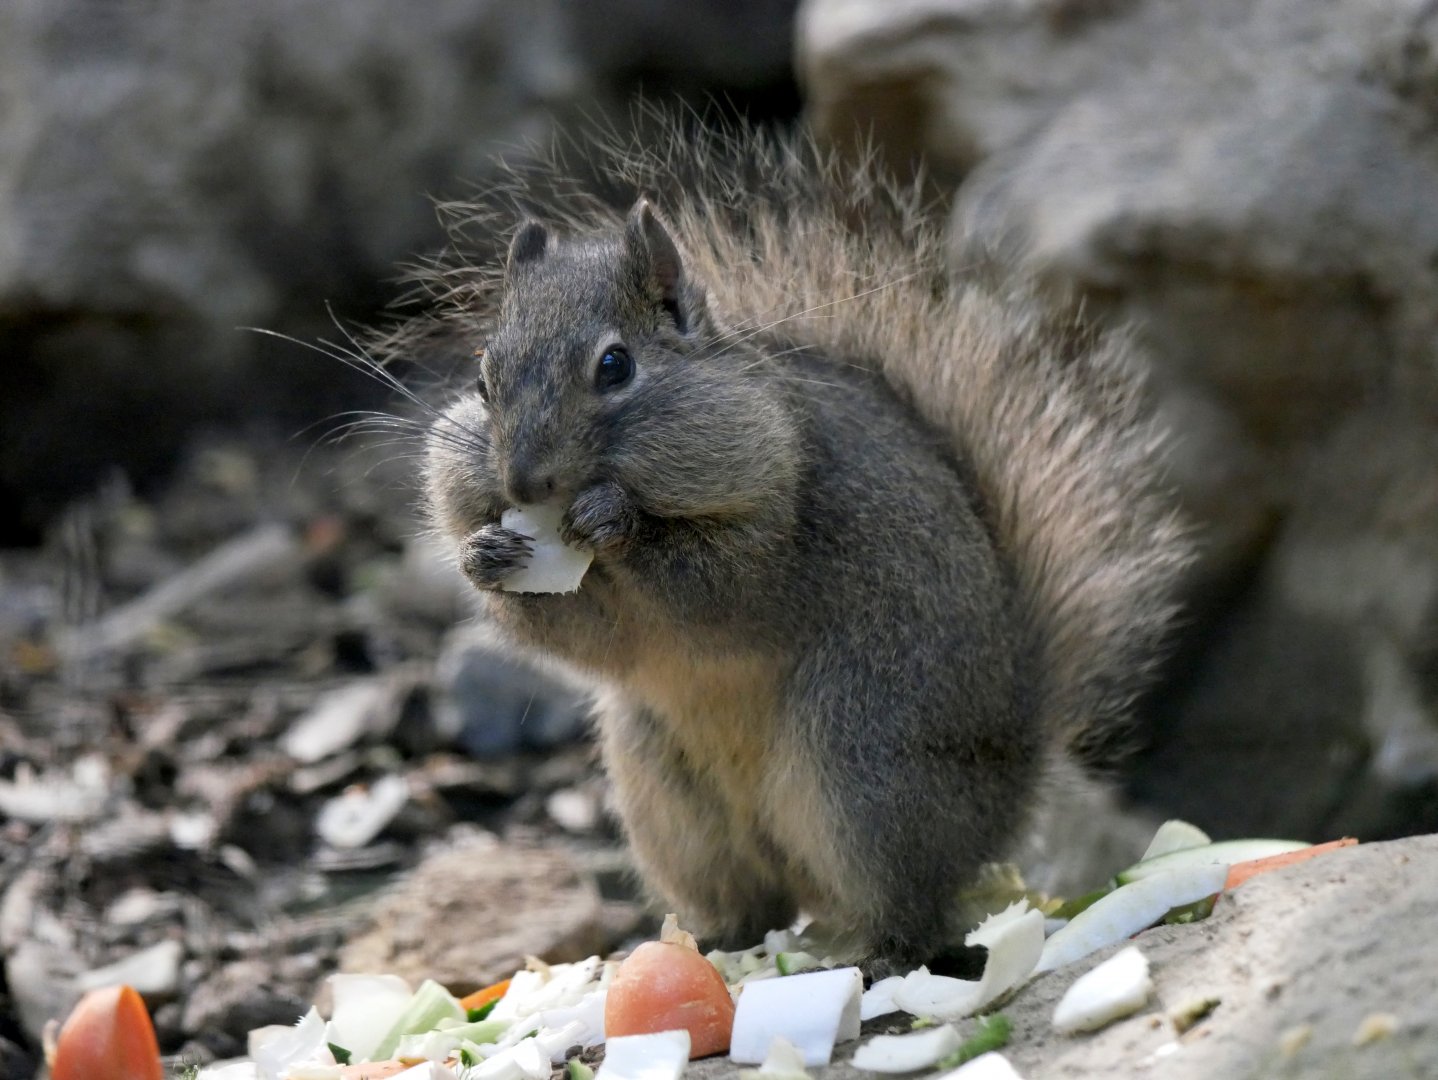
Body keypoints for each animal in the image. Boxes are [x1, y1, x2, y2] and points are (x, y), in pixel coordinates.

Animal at [418, 125, 1192, 975]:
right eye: (483, 380)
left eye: (615, 366)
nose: (523, 480)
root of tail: (1008, 799)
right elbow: (588, 639)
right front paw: (483, 557)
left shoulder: (784, 530)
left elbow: (718, 590)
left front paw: (614, 519)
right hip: (673, 805)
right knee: (752, 902)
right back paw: (708, 946)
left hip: (863, 767)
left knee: (912, 907)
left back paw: (880, 957)